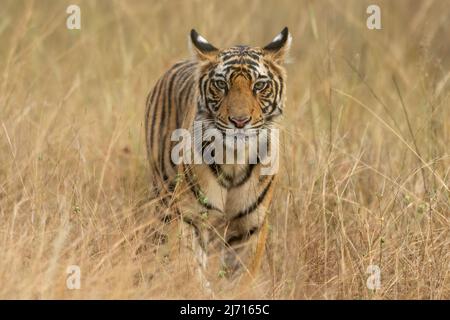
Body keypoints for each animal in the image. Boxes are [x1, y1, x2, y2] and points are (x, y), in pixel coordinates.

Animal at [145, 27, 292, 292]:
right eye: (221, 84)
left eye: (259, 85)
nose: (239, 121)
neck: (234, 160)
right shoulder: (190, 217)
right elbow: (191, 269)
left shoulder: (250, 227)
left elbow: (241, 279)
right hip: (163, 195)